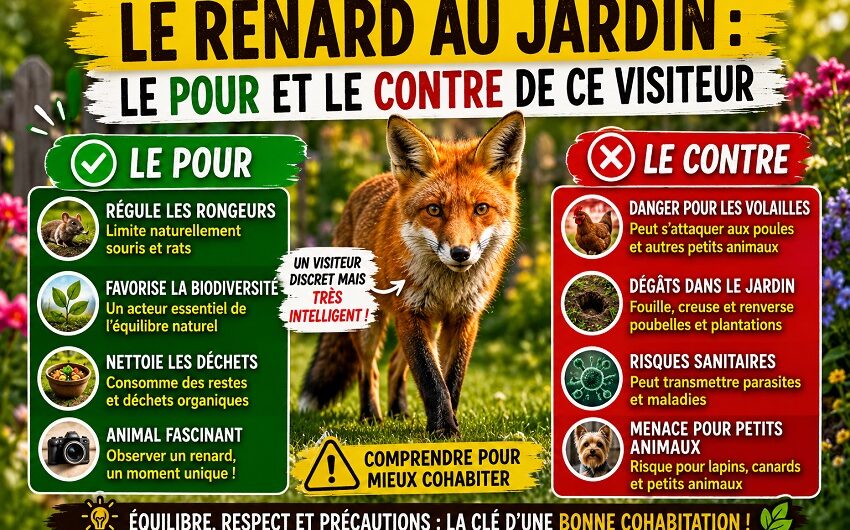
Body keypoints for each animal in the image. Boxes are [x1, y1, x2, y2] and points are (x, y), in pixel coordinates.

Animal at [299, 111, 526, 437]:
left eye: (481, 209)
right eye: (434, 209)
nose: (460, 253)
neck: (448, 289)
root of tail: (371, 181)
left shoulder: (464, 318)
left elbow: (451, 380)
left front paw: (449, 427)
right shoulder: (411, 312)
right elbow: (431, 380)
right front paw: (443, 430)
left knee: (395, 364)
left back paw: (399, 412)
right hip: (372, 324)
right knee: (369, 369)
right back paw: (371, 416)